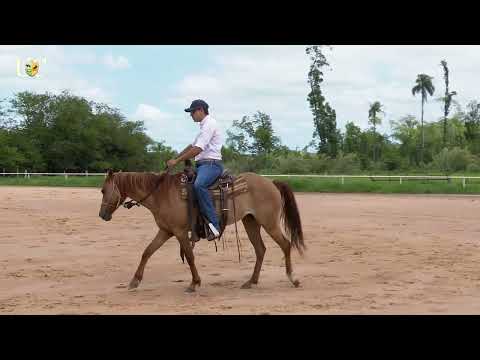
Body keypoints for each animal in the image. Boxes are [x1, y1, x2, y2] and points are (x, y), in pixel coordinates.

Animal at [99, 169, 306, 292]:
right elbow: (147, 252)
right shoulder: (165, 231)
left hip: (269, 223)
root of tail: (271, 183)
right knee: (260, 249)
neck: (161, 194)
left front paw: (194, 283)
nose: (102, 215)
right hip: (251, 222)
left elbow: (190, 257)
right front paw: (135, 281)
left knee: (285, 244)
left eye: (103, 190)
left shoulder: (180, 232)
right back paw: (251, 281)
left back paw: (294, 278)